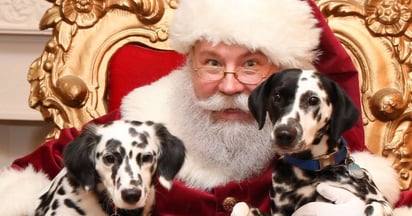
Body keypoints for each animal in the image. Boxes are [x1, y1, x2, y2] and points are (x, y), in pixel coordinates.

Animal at [233, 69, 392, 216]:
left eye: (313, 100)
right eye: (277, 97)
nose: (284, 134)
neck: (313, 170)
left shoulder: (380, 201)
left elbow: (373, 206)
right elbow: (241, 204)